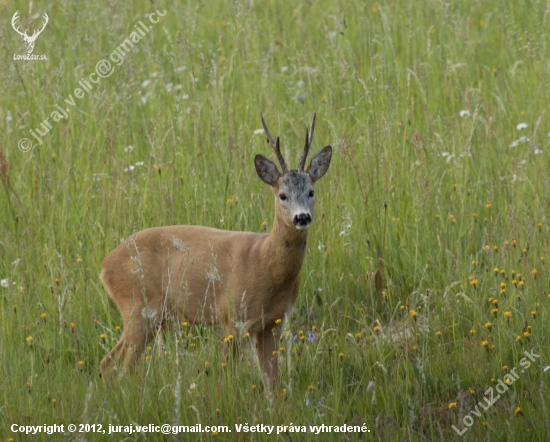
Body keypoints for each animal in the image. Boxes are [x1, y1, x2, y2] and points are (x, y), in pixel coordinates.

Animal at [98, 113, 332, 384]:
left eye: (311, 192)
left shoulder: (273, 322)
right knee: (118, 366)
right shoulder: (233, 317)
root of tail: (104, 266)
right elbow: (225, 375)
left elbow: (272, 381)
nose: (302, 217)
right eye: (282, 195)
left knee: (108, 362)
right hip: (139, 308)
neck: (264, 260)